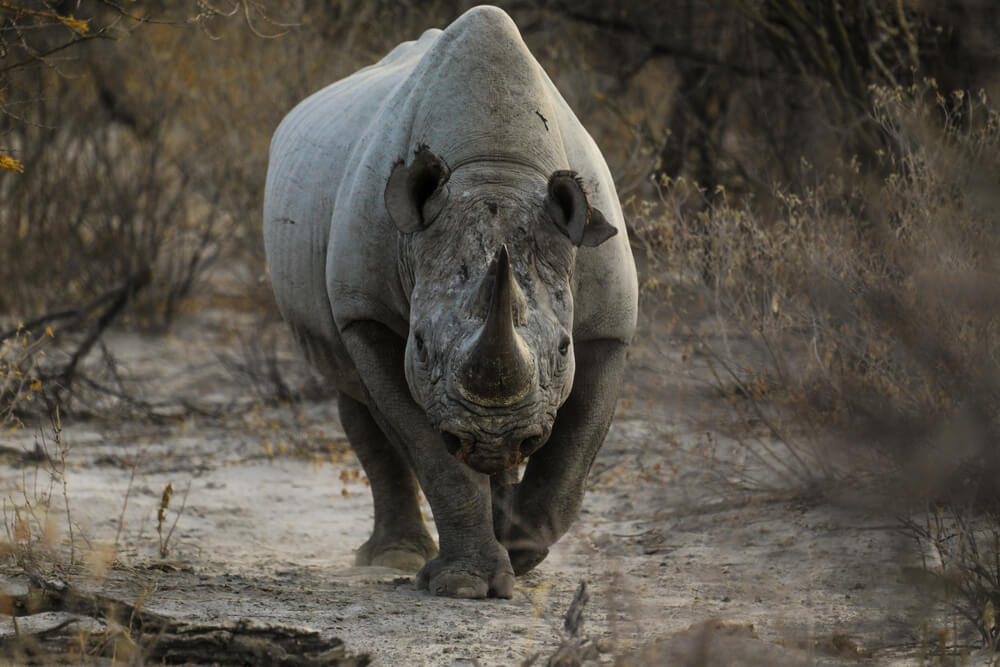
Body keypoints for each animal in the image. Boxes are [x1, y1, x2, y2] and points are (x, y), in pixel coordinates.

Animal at [263, 5, 638, 599]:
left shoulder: (609, 324)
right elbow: (430, 452)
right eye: (418, 343)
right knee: (357, 401)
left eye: (562, 348)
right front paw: (467, 583)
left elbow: (575, 452)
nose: (491, 436)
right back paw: (393, 556)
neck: (497, 167)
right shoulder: (367, 313)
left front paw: (519, 551)